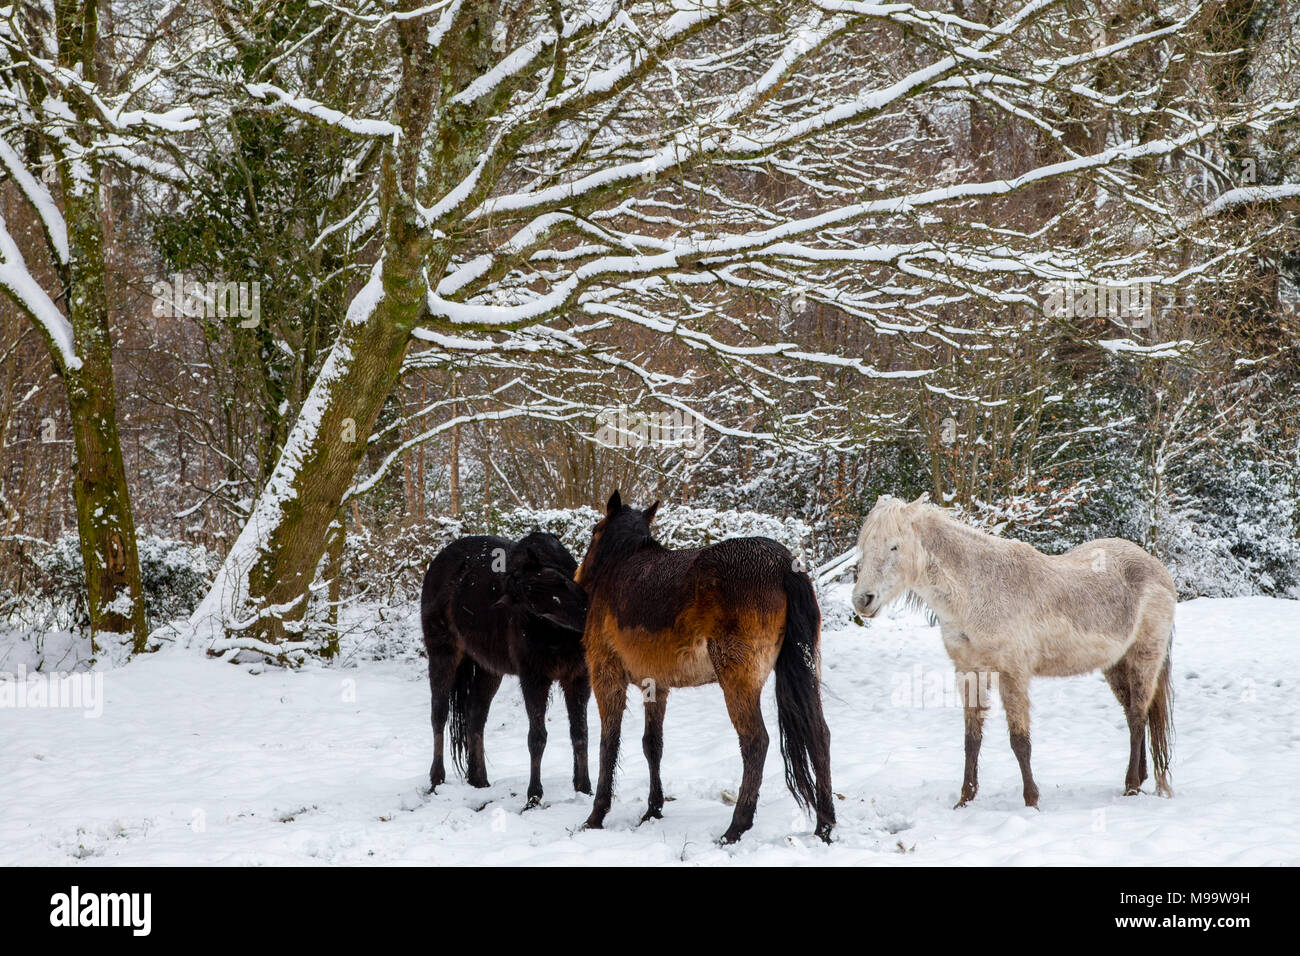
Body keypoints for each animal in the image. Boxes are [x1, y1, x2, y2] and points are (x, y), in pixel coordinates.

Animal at [421, 530, 590, 806]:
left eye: (561, 581)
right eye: (535, 607)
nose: (585, 616)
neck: (556, 632)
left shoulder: (577, 678)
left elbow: (580, 733)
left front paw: (585, 789)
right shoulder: (534, 679)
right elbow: (537, 737)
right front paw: (533, 797)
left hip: (488, 669)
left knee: (475, 715)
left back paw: (479, 781)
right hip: (442, 654)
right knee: (439, 715)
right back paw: (436, 781)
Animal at [577, 494, 832, 842]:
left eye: (594, 531)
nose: (578, 578)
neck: (621, 564)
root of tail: (782, 565)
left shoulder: (607, 677)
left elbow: (608, 744)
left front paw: (596, 815)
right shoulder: (656, 685)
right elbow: (652, 744)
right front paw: (653, 810)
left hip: (737, 682)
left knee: (756, 742)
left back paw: (737, 826)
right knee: (819, 735)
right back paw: (825, 826)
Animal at [852, 494, 1180, 806]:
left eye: (894, 547)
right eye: (864, 546)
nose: (862, 600)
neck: (977, 591)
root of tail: (1156, 568)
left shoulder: (1013, 674)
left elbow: (1020, 741)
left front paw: (1031, 800)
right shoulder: (969, 672)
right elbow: (972, 739)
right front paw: (965, 799)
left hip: (1144, 658)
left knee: (1137, 717)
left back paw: (1131, 786)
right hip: (1115, 665)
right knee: (1134, 715)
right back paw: (1140, 778)